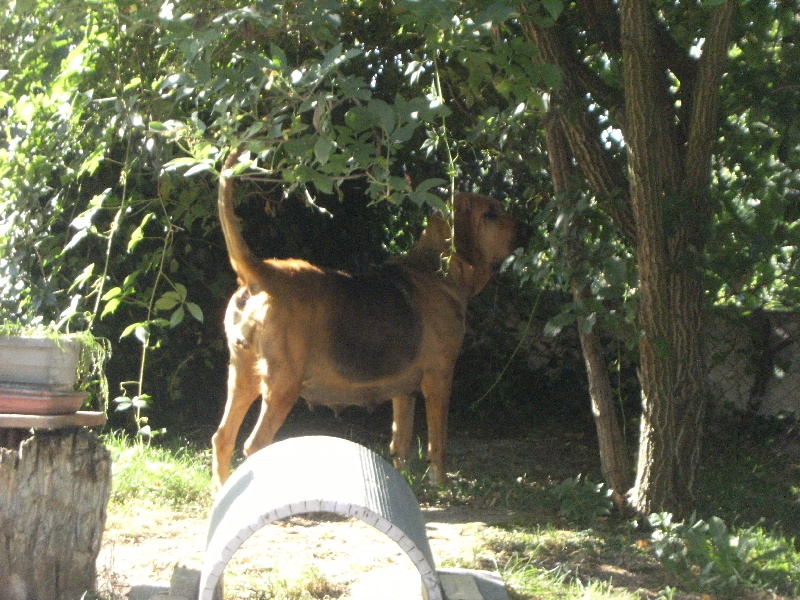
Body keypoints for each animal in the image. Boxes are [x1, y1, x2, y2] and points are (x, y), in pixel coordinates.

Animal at [209, 148, 528, 490]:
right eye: (491, 214)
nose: (528, 228)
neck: (437, 272)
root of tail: (263, 273)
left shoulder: (404, 391)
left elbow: (401, 442)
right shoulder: (439, 379)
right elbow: (437, 443)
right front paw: (440, 483)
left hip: (242, 376)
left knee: (222, 438)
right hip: (282, 386)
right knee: (253, 445)